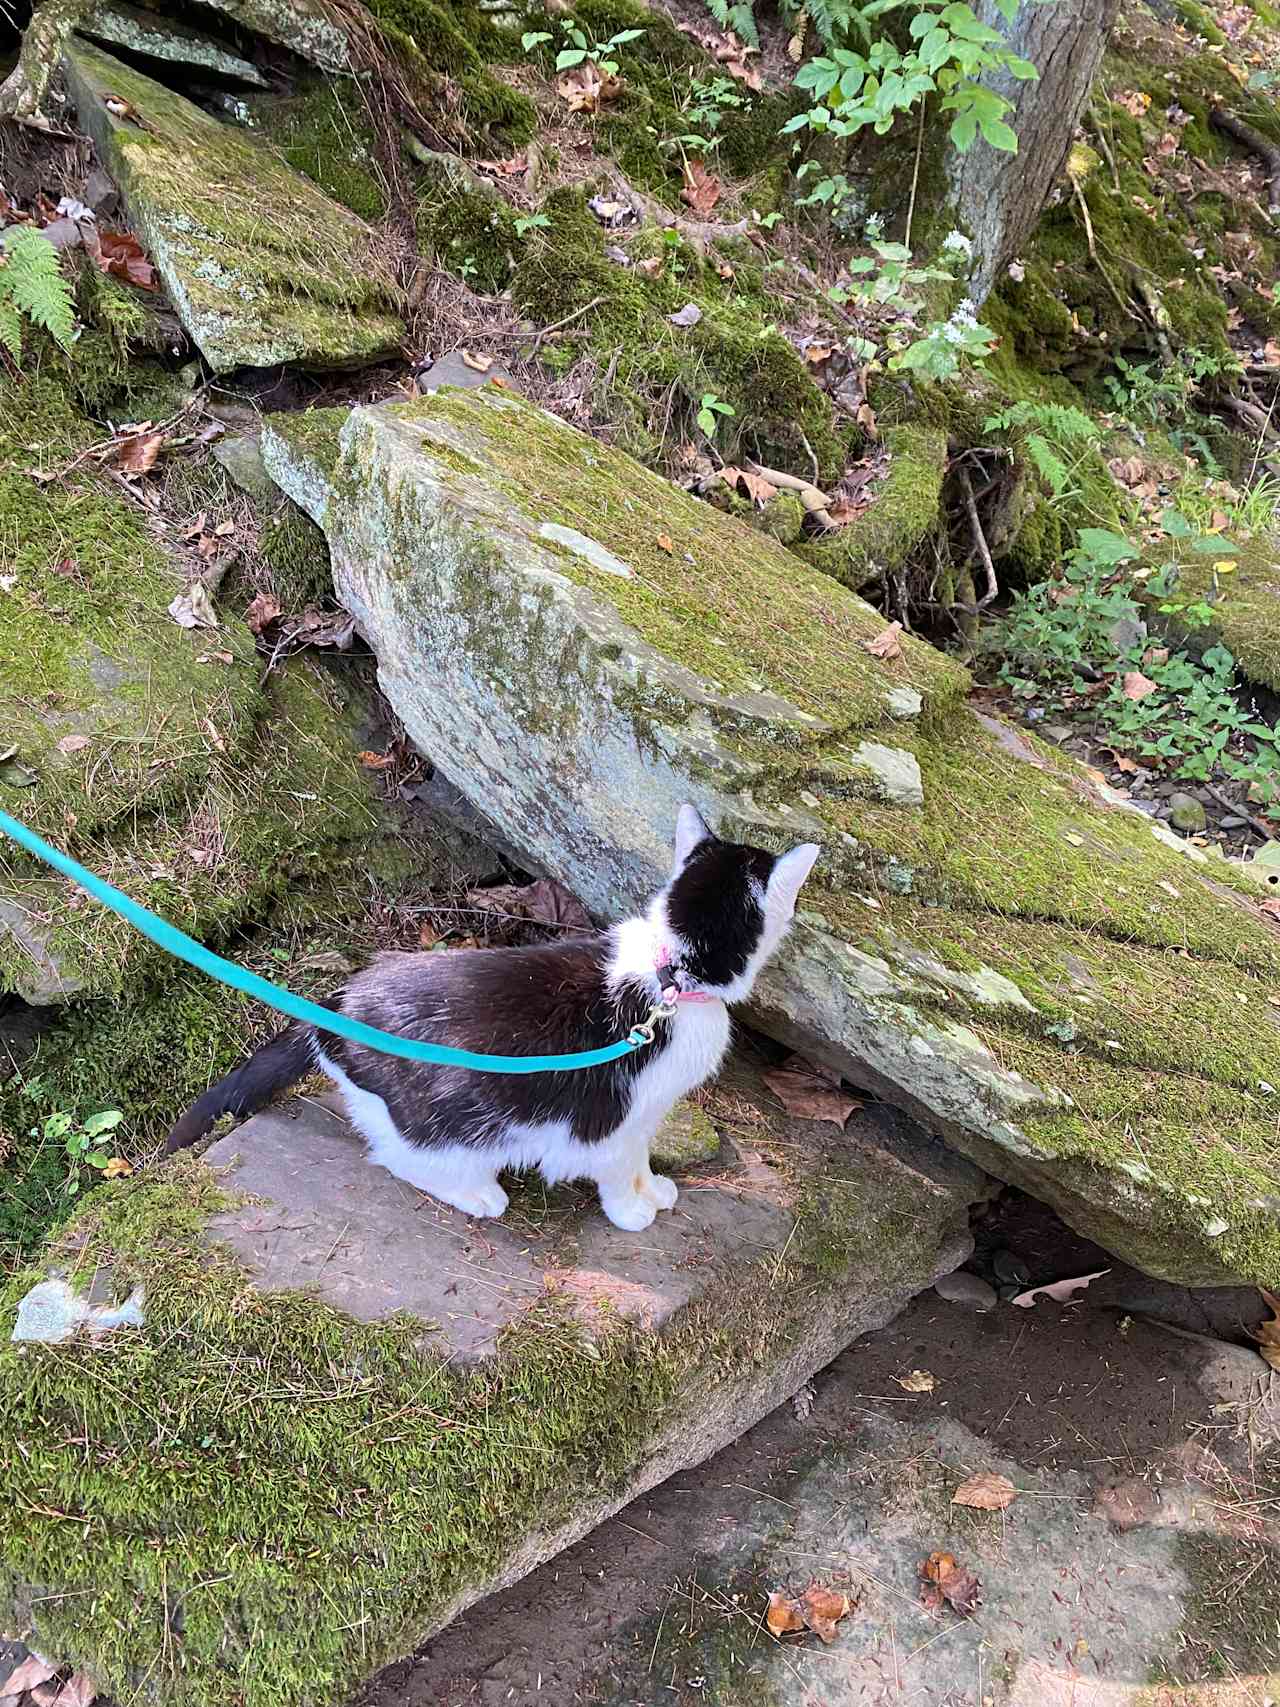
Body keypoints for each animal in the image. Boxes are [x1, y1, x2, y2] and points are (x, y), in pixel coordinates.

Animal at [168, 809, 822, 1229]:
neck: (674, 973)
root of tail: (332, 1010)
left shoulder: (646, 1113)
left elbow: (639, 1154)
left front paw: (652, 1189)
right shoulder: (612, 1114)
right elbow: (616, 1164)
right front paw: (631, 1210)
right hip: (446, 1122)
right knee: (402, 1155)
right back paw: (477, 1193)